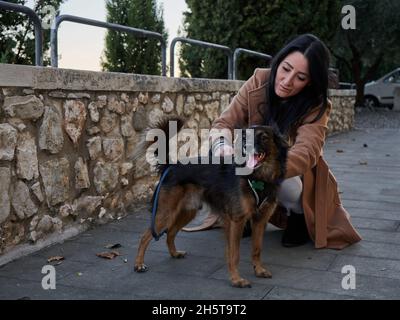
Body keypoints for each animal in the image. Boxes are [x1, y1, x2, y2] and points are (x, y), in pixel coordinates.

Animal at [134, 115, 288, 288]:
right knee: (146, 235)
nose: (246, 146)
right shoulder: (237, 221)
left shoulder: (260, 220)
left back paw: (174, 253)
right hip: (165, 213)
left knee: (171, 232)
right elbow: (234, 254)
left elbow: (257, 249)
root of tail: (172, 165)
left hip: (187, 212)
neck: (257, 177)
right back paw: (139, 264)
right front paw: (236, 279)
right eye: (243, 137)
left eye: (264, 137)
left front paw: (259, 270)